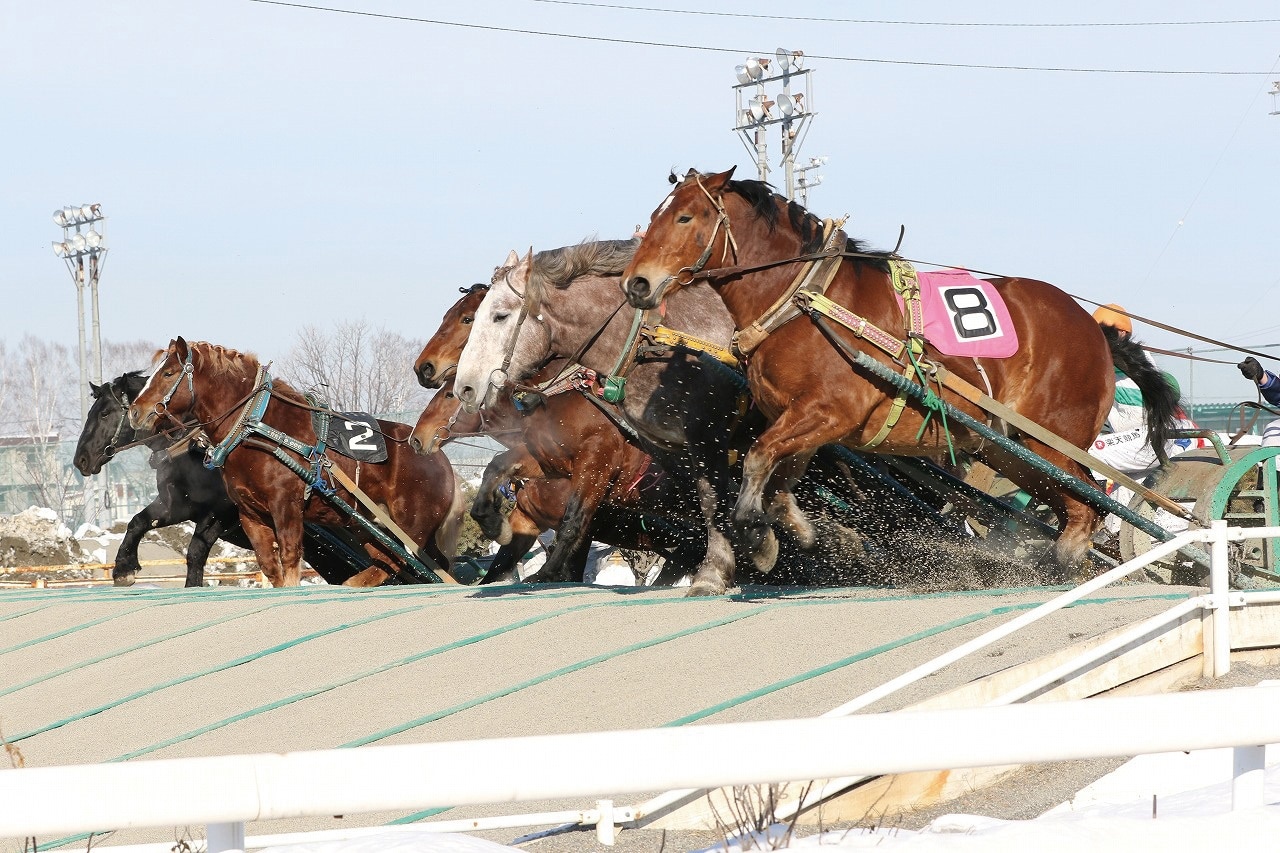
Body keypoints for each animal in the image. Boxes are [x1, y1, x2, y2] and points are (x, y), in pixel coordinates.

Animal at [74, 371, 373, 584]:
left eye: (104, 413)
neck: (194, 448)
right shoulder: (178, 504)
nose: (81, 460)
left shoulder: (225, 511)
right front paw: (123, 568)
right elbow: (138, 522)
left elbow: (196, 551)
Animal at [128, 338, 465, 584]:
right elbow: (270, 565)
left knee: (410, 563)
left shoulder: (286, 507)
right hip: (369, 526)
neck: (258, 427)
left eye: (168, 373)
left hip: (412, 529)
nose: (135, 411)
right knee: (396, 562)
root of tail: (439, 458)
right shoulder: (251, 514)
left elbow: (290, 559)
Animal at [622, 166, 1177, 584]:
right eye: (653, 216)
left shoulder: (829, 412)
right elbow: (779, 481)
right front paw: (794, 532)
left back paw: (1067, 563)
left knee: (1088, 508)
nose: (637, 284)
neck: (805, 300)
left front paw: (753, 533)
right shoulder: (800, 423)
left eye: (685, 216)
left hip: (1051, 442)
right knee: (1073, 508)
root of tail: (1095, 331)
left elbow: (758, 460)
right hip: (1009, 449)